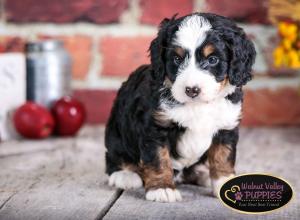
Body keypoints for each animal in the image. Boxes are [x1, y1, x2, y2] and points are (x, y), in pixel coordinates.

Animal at [105, 12, 255, 203]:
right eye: (177, 59)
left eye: (212, 59)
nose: (192, 90)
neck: (198, 106)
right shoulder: (155, 127)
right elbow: (158, 159)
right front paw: (162, 188)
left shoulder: (226, 126)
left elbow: (223, 156)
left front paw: (224, 182)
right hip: (116, 132)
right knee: (115, 156)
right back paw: (125, 175)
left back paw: (202, 174)